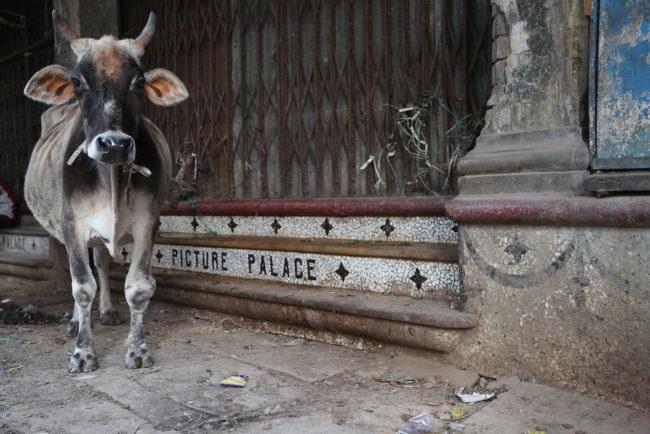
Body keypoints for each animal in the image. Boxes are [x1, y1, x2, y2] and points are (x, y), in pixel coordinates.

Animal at [22, 10, 185, 372]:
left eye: (139, 83)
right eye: (77, 82)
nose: (114, 144)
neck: (110, 179)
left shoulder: (148, 222)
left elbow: (138, 287)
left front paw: (137, 350)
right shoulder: (72, 224)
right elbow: (82, 286)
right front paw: (83, 353)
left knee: (100, 262)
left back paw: (108, 312)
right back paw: (74, 322)